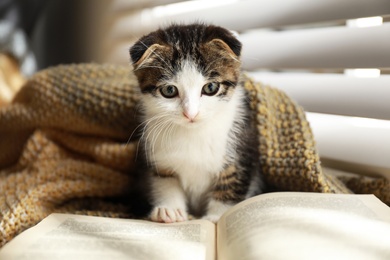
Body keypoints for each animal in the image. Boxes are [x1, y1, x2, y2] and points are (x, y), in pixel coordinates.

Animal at [129, 22, 264, 223]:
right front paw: (169, 210)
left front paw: (216, 217)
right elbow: (165, 181)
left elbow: (231, 182)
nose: (190, 113)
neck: (193, 132)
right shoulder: (158, 155)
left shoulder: (242, 146)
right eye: (169, 90)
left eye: (210, 87)